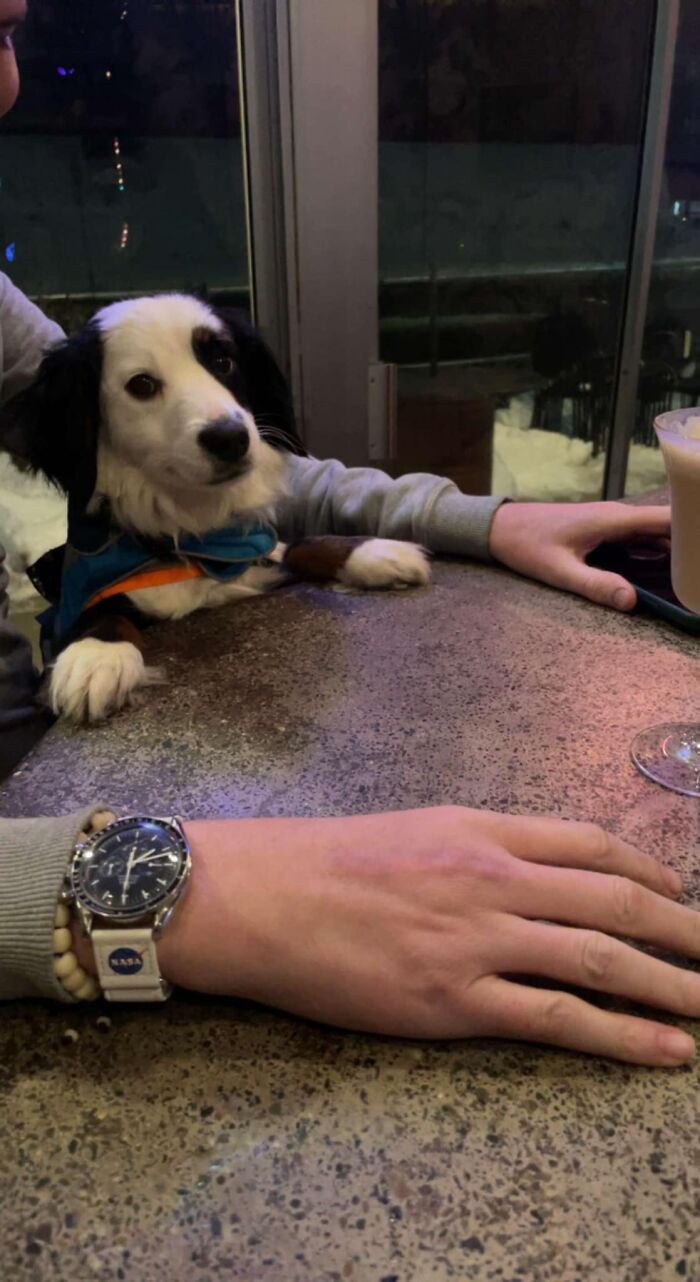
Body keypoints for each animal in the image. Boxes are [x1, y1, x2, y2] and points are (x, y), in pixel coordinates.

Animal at [0, 294, 429, 723]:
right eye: (141, 385)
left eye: (223, 362)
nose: (230, 438)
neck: (192, 540)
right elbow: (101, 610)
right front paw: (96, 657)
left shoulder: (255, 551)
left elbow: (300, 544)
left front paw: (373, 552)